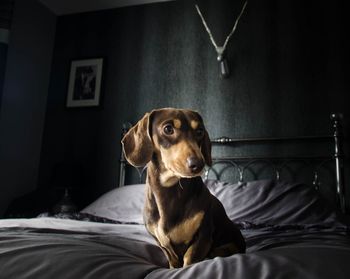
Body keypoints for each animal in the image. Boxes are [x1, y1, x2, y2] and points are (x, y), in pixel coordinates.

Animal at [121, 109, 245, 270]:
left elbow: (189, 259)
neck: (170, 193)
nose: (199, 164)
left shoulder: (203, 237)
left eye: (199, 131)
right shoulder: (163, 245)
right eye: (168, 129)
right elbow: (173, 261)